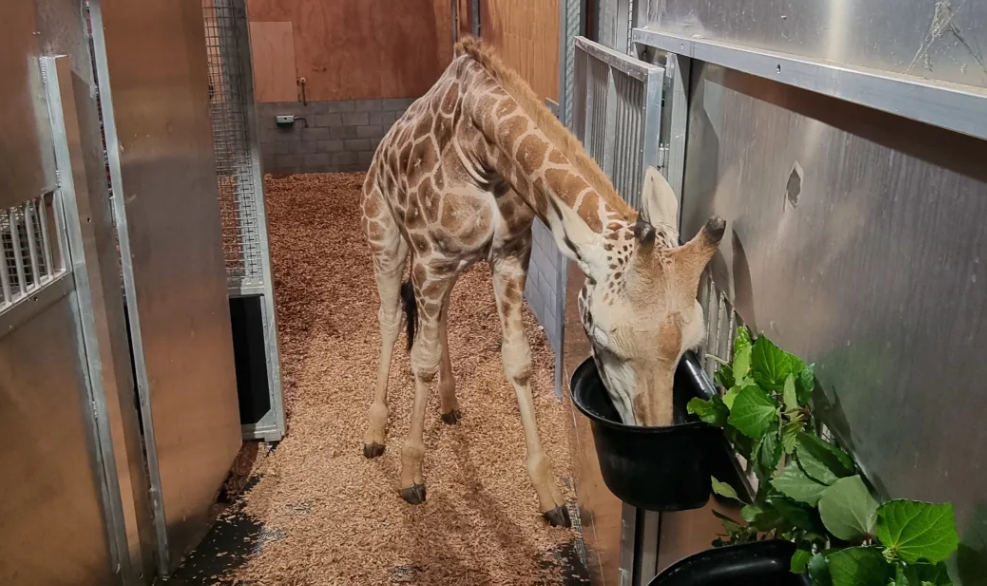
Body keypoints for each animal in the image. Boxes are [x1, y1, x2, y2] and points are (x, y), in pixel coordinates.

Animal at [358, 38, 720, 528]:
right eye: (602, 339)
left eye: (690, 347)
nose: (652, 433)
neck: (480, 152)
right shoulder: (433, 259)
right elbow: (422, 361)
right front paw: (412, 474)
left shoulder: (509, 254)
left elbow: (518, 361)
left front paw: (549, 497)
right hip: (386, 236)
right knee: (392, 318)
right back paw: (375, 433)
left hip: (449, 267)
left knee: (441, 319)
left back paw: (450, 406)